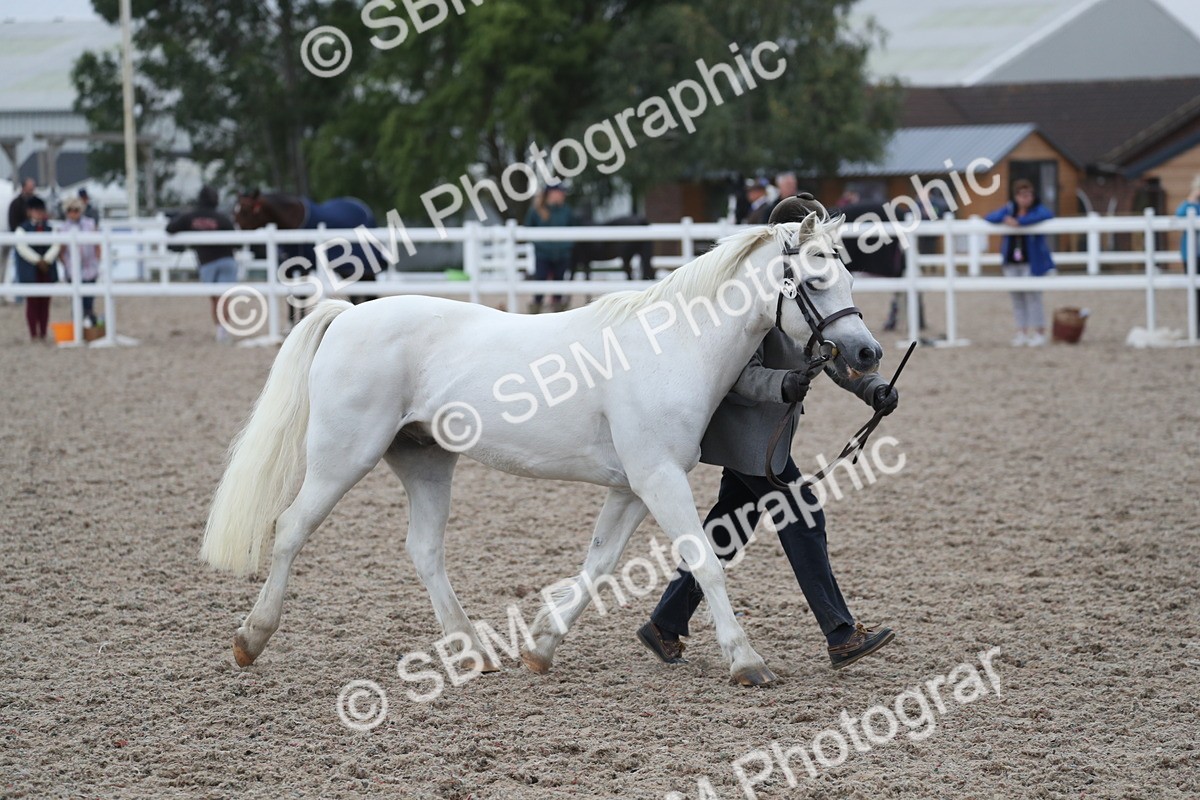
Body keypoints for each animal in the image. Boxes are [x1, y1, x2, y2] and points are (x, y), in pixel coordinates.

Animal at [200, 204, 883, 687]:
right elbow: (704, 561)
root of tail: (345, 314)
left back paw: (474, 652)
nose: (867, 353)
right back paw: (250, 639)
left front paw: (542, 649)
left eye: (851, 272)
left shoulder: (632, 487)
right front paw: (747, 661)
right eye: (814, 278)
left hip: (425, 459)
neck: (671, 348)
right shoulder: (658, 477)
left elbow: (599, 565)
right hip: (343, 458)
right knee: (290, 529)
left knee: (424, 550)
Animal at [234, 190, 378, 313]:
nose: (237, 242)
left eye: (246, 211)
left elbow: (301, 295)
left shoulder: (304, 268)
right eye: (234, 212)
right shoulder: (288, 268)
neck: (292, 221)